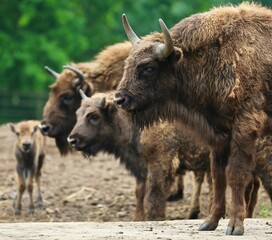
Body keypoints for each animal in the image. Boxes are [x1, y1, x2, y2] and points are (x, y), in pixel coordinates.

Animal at [114, 3, 272, 236]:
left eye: (148, 68)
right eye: (128, 63)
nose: (119, 99)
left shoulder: (244, 127)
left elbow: (236, 174)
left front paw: (235, 226)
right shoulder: (219, 134)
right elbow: (218, 176)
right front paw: (209, 222)